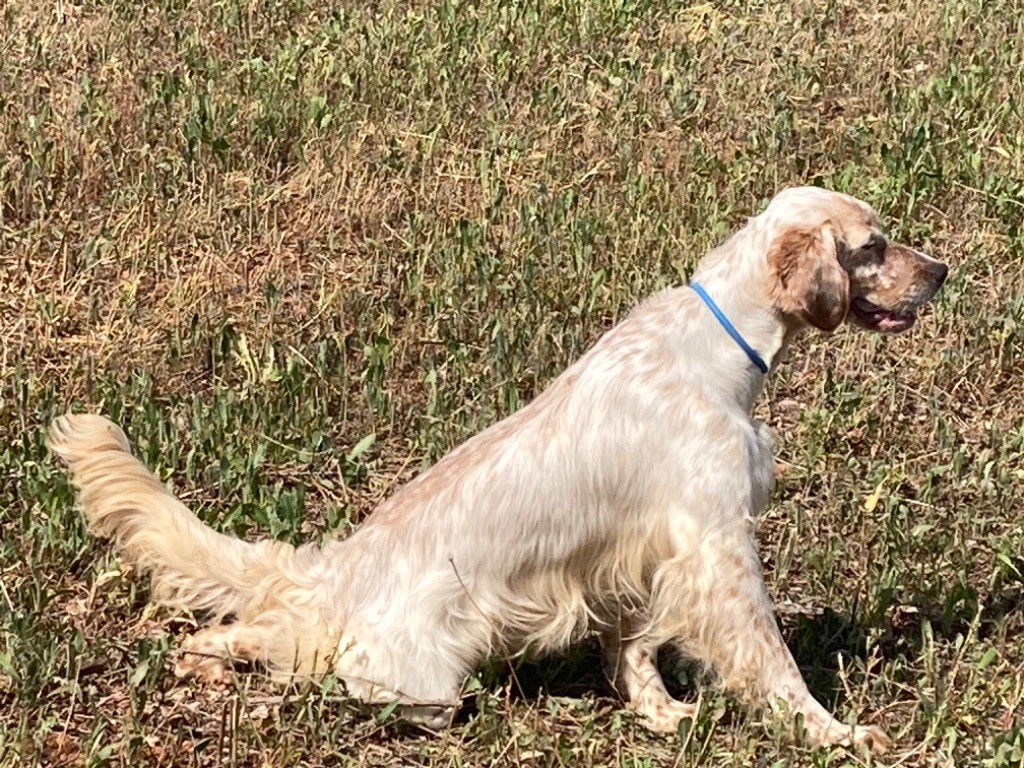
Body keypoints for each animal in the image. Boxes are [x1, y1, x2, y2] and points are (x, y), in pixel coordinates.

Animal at [48, 186, 942, 753]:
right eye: (873, 247)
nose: (942, 271)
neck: (719, 345)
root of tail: (337, 568)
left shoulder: (637, 551)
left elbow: (632, 650)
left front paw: (661, 716)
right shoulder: (716, 547)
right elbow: (773, 662)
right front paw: (835, 734)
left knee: (251, 632)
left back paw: (204, 658)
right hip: (421, 686)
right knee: (321, 675)